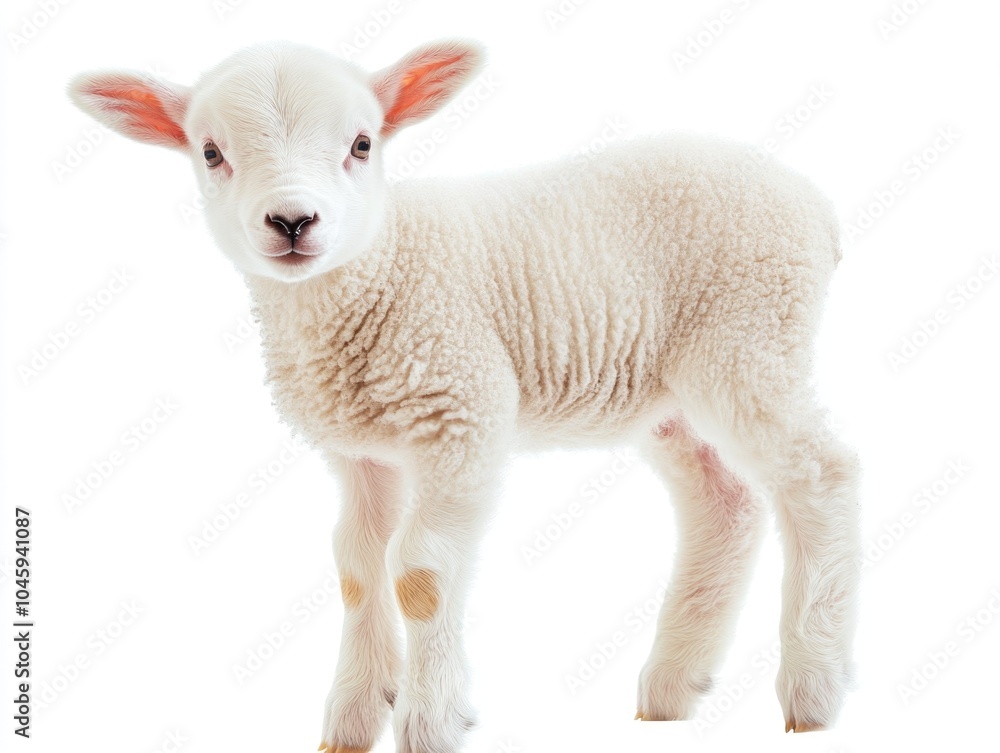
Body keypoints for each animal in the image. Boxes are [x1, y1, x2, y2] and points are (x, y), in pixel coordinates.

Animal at [69, 38, 860, 752]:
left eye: (362, 144)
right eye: (210, 152)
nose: (293, 222)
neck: (383, 265)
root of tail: (817, 207)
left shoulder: (463, 417)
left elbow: (419, 572)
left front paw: (429, 721)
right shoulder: (361, 452)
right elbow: (357, 569)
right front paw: (352, 719)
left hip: (750, 339)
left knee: (821, 474)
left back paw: (813, 688)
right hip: (673, 392)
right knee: (722, 503)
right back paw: (671, 688)